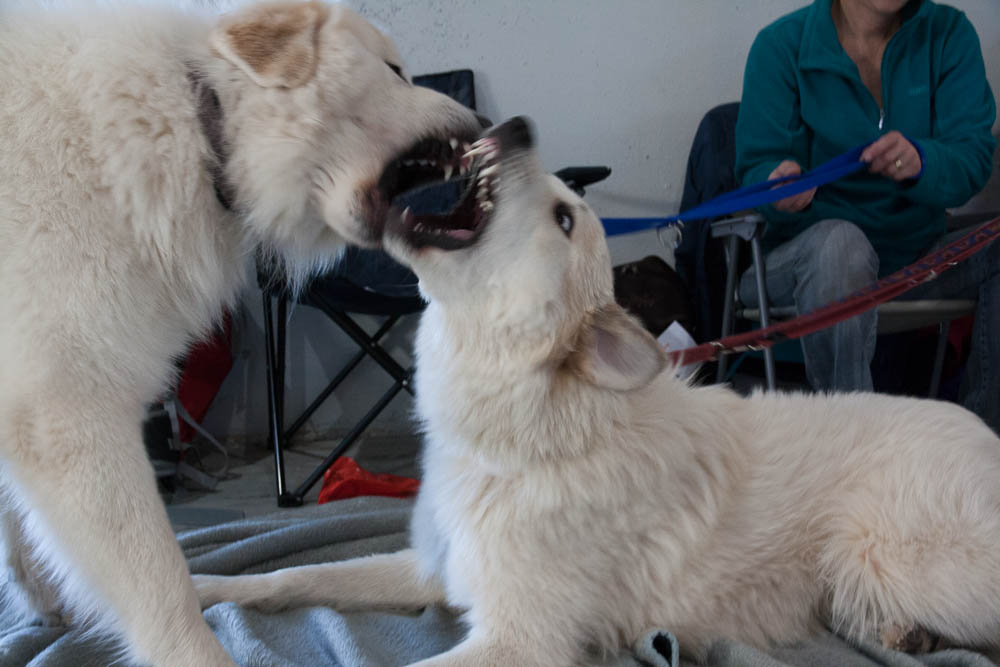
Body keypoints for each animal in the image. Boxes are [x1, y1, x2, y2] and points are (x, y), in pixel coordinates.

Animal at [0, 2, 484, 664]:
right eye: (394, 71)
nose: (483, 121)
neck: (196, 123)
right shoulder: (69, 416)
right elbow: (163, 586)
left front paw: (44, 606)